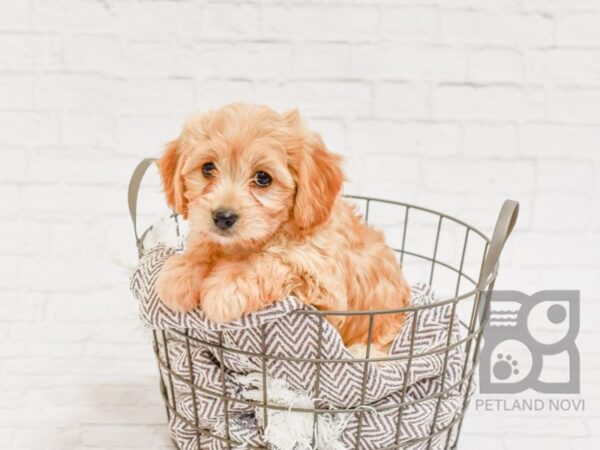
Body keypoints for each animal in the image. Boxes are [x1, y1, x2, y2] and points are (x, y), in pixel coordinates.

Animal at [155, 103, 410, 354]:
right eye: (208, 168)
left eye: (263, 178)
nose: (223, 217)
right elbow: (204, 245)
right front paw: (181, 273)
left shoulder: (324, 292)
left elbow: (269, 262)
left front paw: (224, 289)